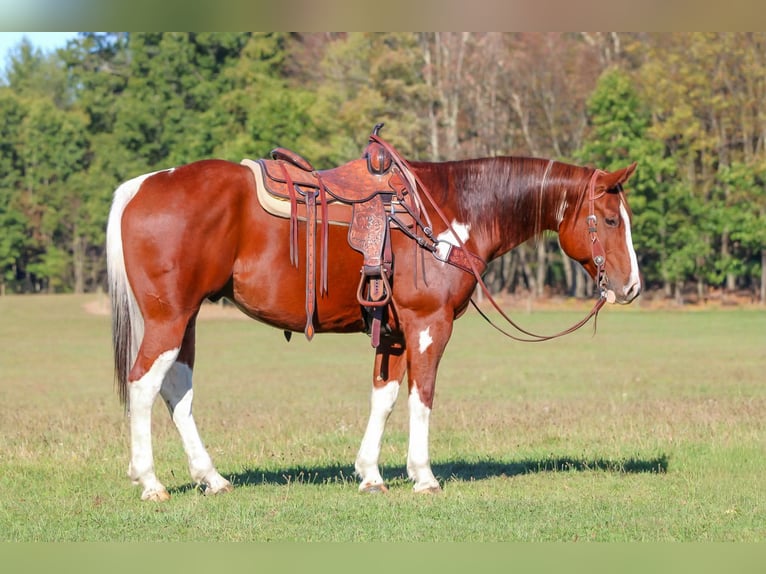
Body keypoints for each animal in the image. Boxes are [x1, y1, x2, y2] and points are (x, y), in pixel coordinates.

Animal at [106, 133, 640, 501]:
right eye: (611, 219)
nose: (631, 287)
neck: (446, 215)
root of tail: (139, 186)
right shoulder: (429, 325)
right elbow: (422, 396)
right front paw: (423, 476)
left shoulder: (396, 333)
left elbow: (383, 398)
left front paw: (371, 474)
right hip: (169, 319)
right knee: (143, 385)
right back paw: (150, 481)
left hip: (186, 319)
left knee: (176, 389)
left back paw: (211, 477)